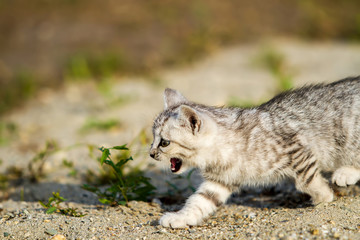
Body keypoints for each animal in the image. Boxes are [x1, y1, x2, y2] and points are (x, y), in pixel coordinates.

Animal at [148, 76, 360, 228]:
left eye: (164, 142)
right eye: (153, 138)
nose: (151, 153)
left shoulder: (296, 147)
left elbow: (305, 180)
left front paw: (323, 195)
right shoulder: (220, 180)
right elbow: (199, 201)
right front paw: (180, 217)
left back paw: (345, 173)